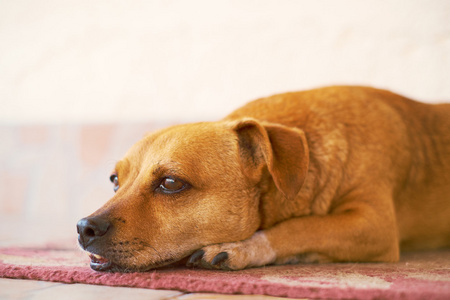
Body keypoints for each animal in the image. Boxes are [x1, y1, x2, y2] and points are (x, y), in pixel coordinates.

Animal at [77, 85, 450, 272]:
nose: (83, 227)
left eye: (171, 183)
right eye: (114, 180)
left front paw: (242, 248)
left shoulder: (373, 223)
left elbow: (303, 227)